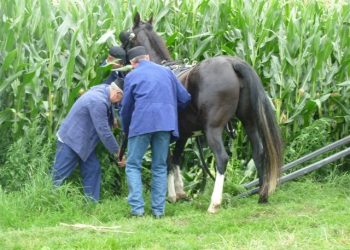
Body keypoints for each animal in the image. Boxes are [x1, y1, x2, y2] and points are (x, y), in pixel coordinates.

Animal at [121, 13, 284, 213]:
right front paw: (180, 192)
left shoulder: (165, 134)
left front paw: (172, 195)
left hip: (213, 129)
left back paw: (214, 203)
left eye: (127, 36)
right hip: (249, 122)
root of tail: (231, 63)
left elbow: (167, 161)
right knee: (258, 152)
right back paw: (262, 194)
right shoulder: (183, 135)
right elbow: (176, 160)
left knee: (222, 158)